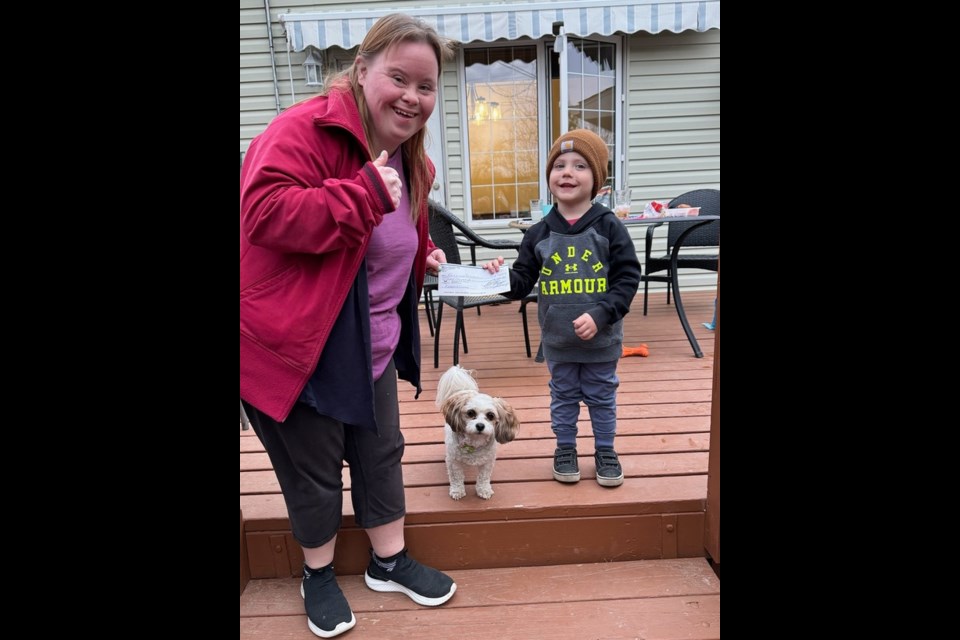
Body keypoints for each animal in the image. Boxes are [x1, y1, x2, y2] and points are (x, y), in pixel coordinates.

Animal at [438, 364, 520, 500]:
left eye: (491, 415)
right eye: (471, 413)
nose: (480, 425)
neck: (474, 443)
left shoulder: (488, 462)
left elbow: (483, 478)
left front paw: (484, 490)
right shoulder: (453, 461)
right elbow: (456, 477)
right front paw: (457, 490)